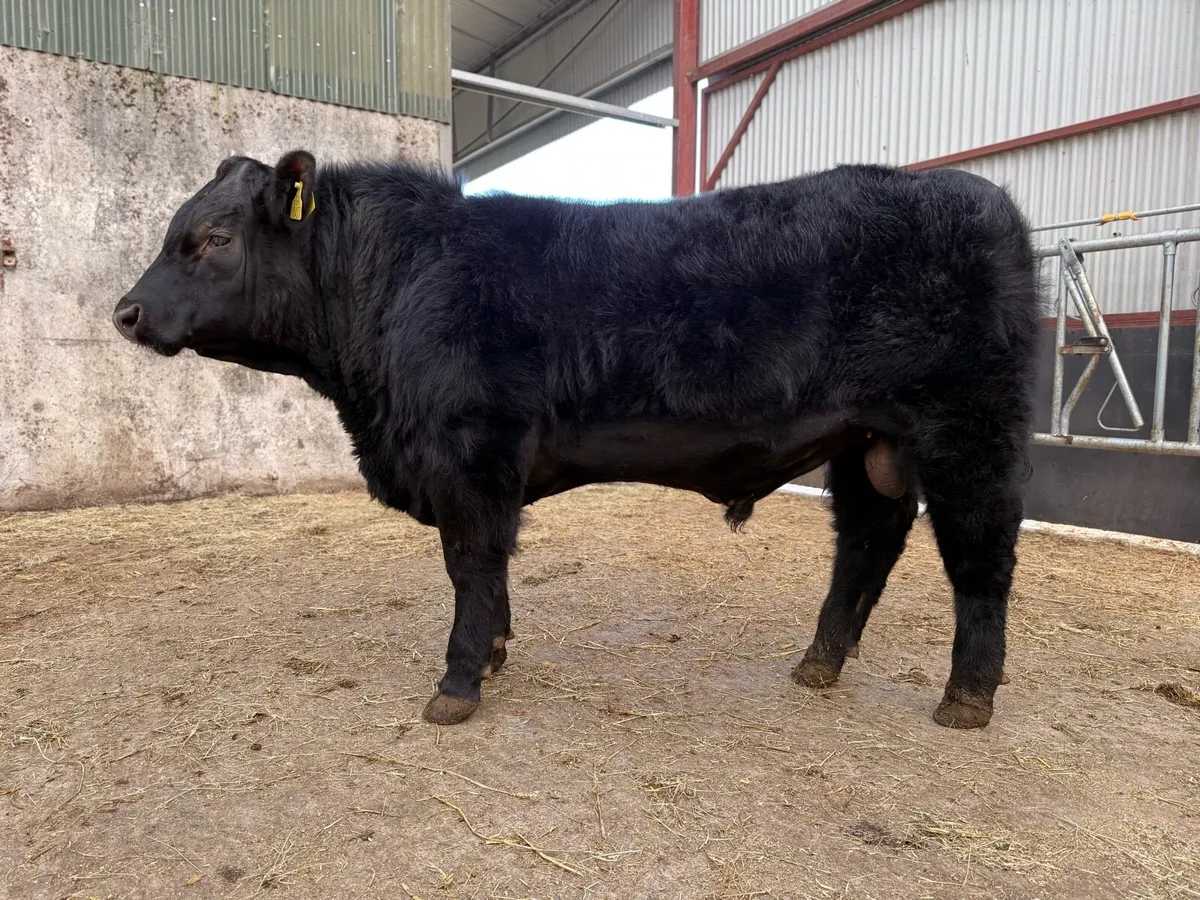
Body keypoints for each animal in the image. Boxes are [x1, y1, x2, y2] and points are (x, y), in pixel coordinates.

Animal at [113, 151, 1039, 730]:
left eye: (214, 239)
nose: (125, 310)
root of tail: (984, 196)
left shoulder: (471, 452)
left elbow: (472, 564)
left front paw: (457, 682)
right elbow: (484, 573)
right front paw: (492, 655)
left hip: (971, 433)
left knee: (981, 560)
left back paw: (967, 698)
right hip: (867, 440)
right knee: (867, 542)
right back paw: (819, 663)